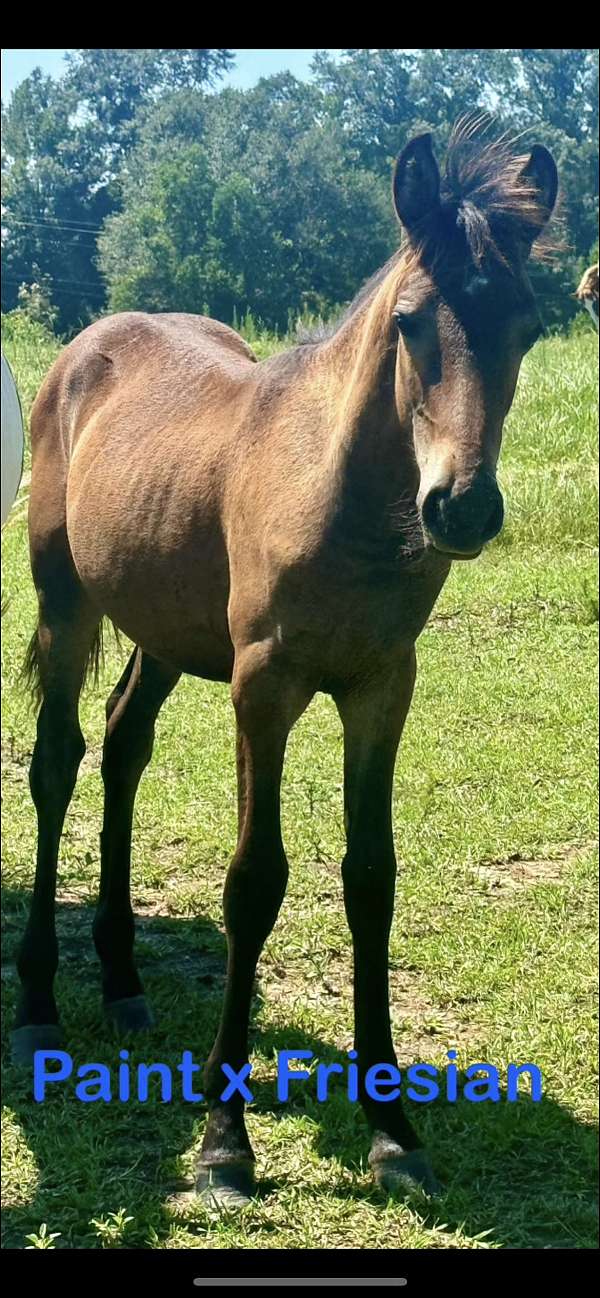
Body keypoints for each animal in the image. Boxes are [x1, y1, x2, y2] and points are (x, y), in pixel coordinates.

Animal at [14, 119, 558, 1204]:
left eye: (525, 325)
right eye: (410, 323)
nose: (462, 508)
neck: (347, 502)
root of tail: (86, 347)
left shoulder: (383, 685)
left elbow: (372, 877)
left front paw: (394, 1130)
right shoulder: (263, 685)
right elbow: (253, 882)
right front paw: (225, 1141)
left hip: (165, 629)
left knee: (124, 746)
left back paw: (125, 984)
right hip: (66, 604)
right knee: (57, 763)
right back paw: (41, 1003)